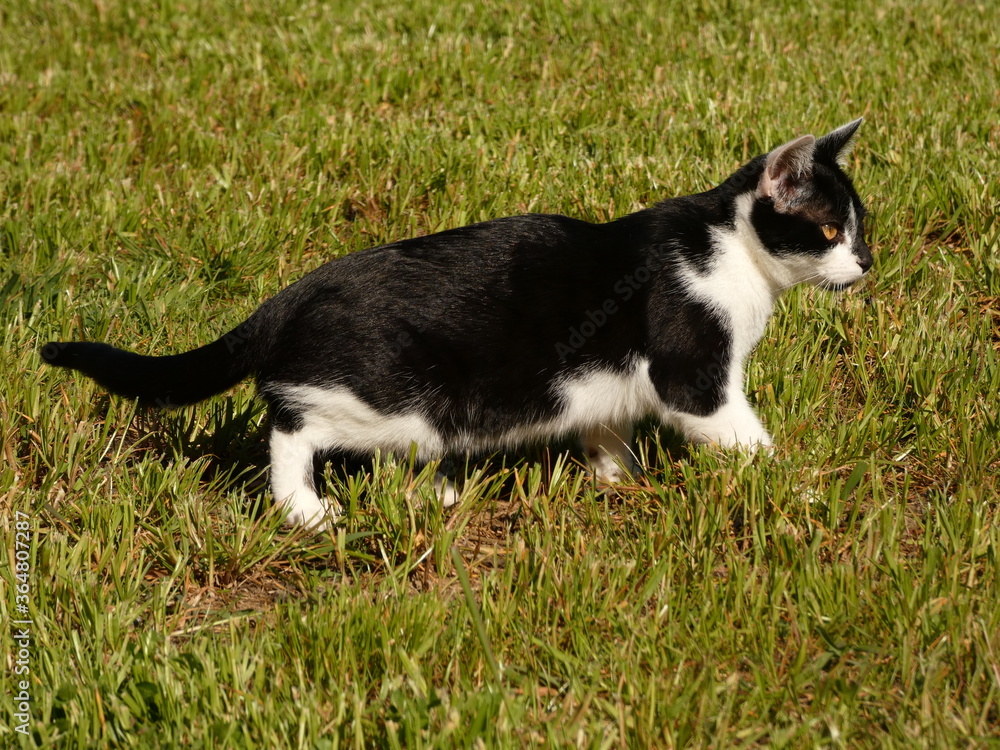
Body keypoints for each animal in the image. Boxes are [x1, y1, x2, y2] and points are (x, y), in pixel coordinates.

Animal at [41, 120, 868, 528]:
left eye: (862, 230)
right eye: (828, 231)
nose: (864, 264)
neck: (736, 253)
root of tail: (295, 290)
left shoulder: (608, 386)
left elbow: (607, 428)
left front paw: (617, 482)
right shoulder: (694, 375)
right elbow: (748, 439)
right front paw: (801, 491)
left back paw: (432, 496)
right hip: (399, 402)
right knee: (290, 423)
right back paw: (307, 509)